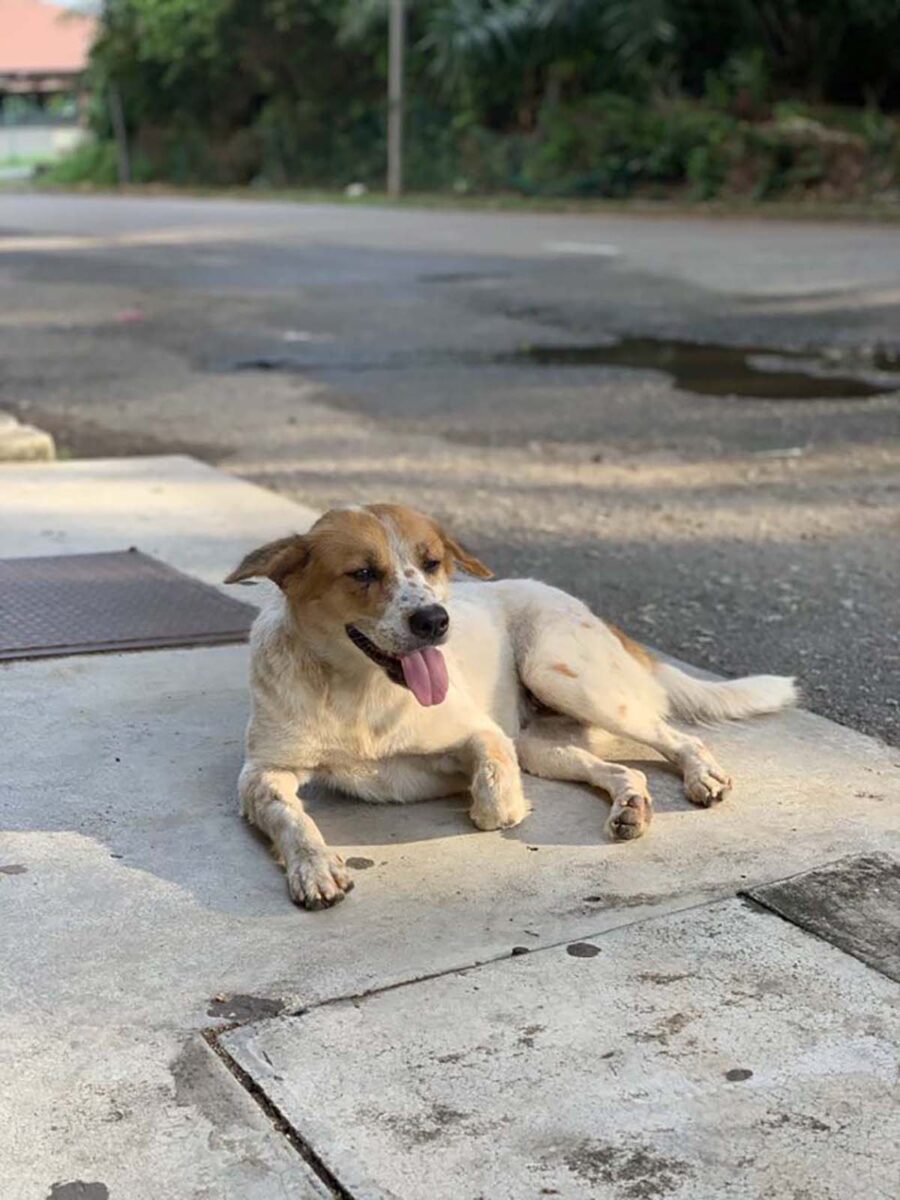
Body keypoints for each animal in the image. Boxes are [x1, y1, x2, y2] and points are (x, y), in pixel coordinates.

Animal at [226, 504, 796, 907]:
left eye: (432, 563)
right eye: (363, 573)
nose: (435, 621)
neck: (358, 691)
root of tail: (605, 621)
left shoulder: (484, 733)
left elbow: (496, 797)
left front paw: (488, 803)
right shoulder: (262, 771)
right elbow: (288, 815)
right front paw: (315, 865)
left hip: (560, 676)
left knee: (679, 737)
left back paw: (703, 774)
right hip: (539, 744)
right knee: (622, 770)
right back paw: (631, 806)